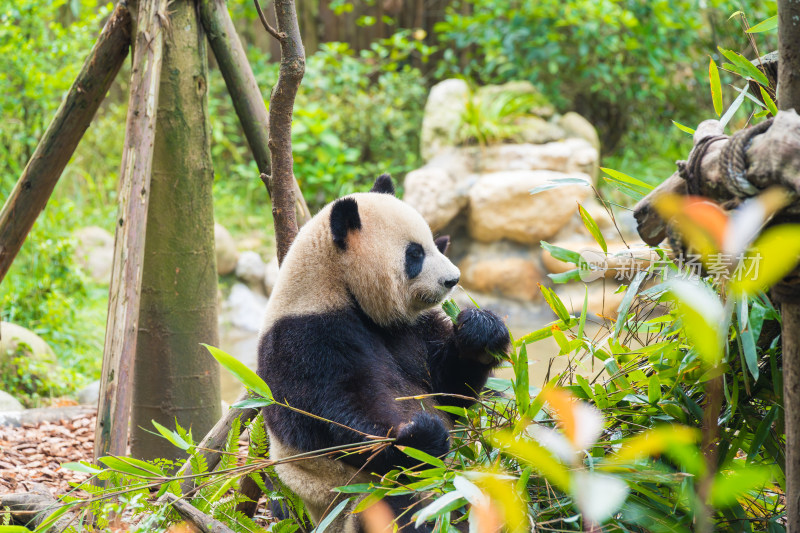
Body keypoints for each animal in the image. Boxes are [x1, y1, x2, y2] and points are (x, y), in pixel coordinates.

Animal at [256, 174, 510, 528]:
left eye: (435, 244)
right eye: (415, 254)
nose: (453, 279)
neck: (338, 287)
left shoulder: (410, 329)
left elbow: (450, 390)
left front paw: (480, 330)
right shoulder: (305, 337)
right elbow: (337, 418)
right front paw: (419, 437)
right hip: (352, 504)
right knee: (396, 503)